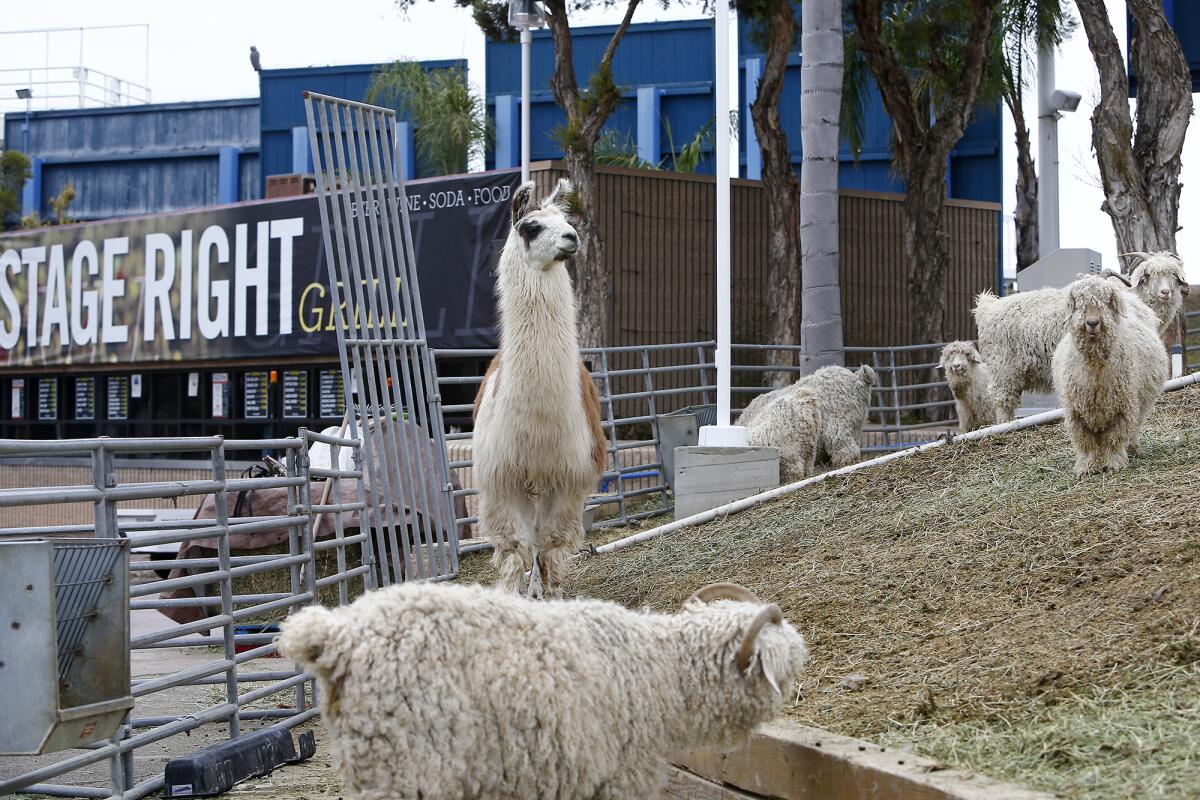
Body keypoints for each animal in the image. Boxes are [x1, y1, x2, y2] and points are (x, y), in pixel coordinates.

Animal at [472, 178, 609, 597]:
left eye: (567, 221)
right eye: (531, 227)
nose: (572, 238)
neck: (538, 419)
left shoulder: (569, 474)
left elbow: (551, 544)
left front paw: (553, 594)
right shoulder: (502, 476)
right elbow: (515, 545)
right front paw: (513, 594)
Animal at [1056, 275, 1166, 474]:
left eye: (1106, 301)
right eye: (1079, 303)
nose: (1092, 323)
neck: (1096, 369)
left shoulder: (1123, 408)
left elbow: (1115, 438)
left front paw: (1113, 464)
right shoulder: (1075, 412)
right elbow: (1085, 442)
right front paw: (1086, 468)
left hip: (1142, 403)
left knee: (1133, 429)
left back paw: (1132, 449)